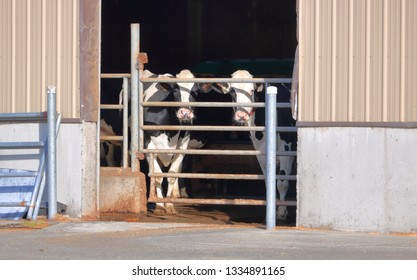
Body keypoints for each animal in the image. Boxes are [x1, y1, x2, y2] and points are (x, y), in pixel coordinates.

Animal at [224, 70, 296, 223]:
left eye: (251, 91)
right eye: (232, 92)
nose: (241, 115)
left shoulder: (286, 151)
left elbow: (282, 183)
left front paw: (282, 213)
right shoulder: (261, 155)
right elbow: (269, 182)